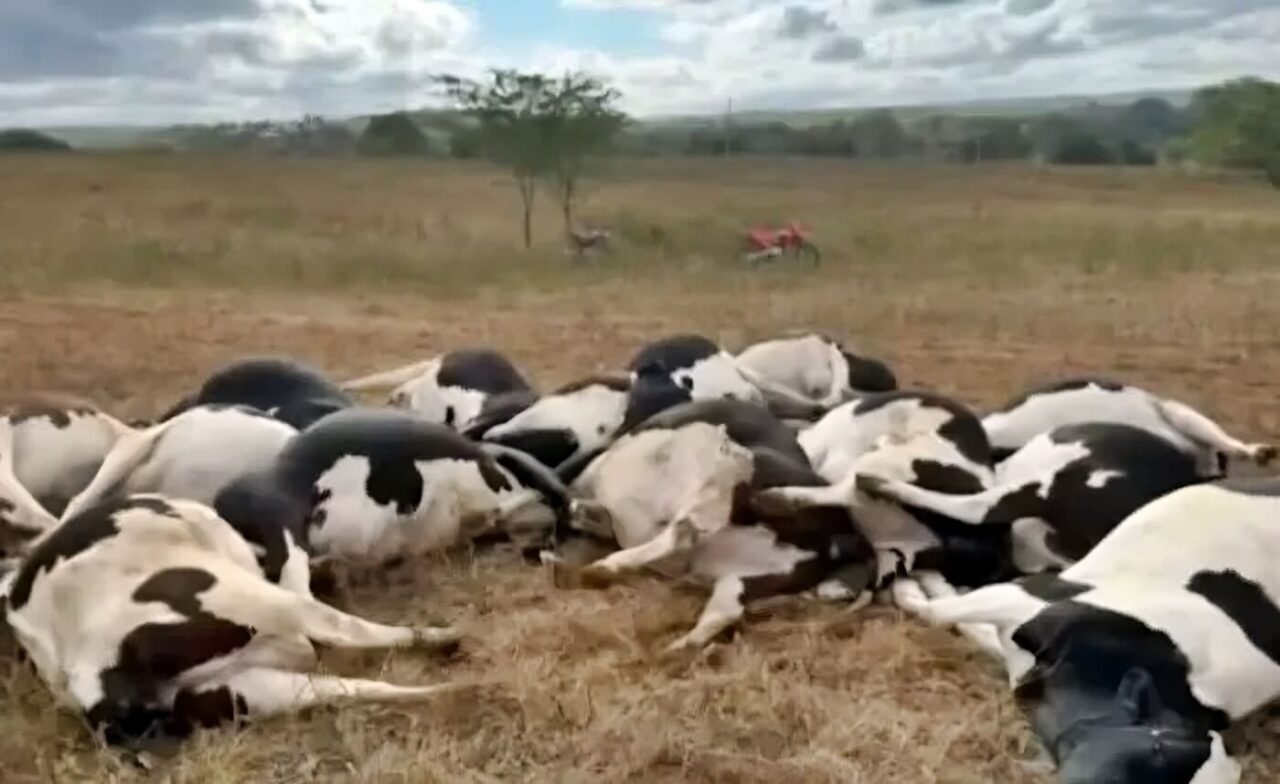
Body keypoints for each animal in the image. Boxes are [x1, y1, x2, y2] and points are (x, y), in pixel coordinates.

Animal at [4, 494, 462, 745]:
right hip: (247, 601)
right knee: (333, 627)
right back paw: (447, 638)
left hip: (244, 689)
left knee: (353, 686)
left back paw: (458, 688)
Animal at [549, 399, 876, 651]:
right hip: (755, 575)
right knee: (723, 607)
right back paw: (676, 650)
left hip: (727, 474)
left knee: (684, 531)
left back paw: (595, 568)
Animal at [891, 478, 1280, 784]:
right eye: (1156, 751)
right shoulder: (1034, 597)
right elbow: (948, 611)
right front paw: (915, 580)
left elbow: (952, 615)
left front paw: (918, 584)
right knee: (981, 505)